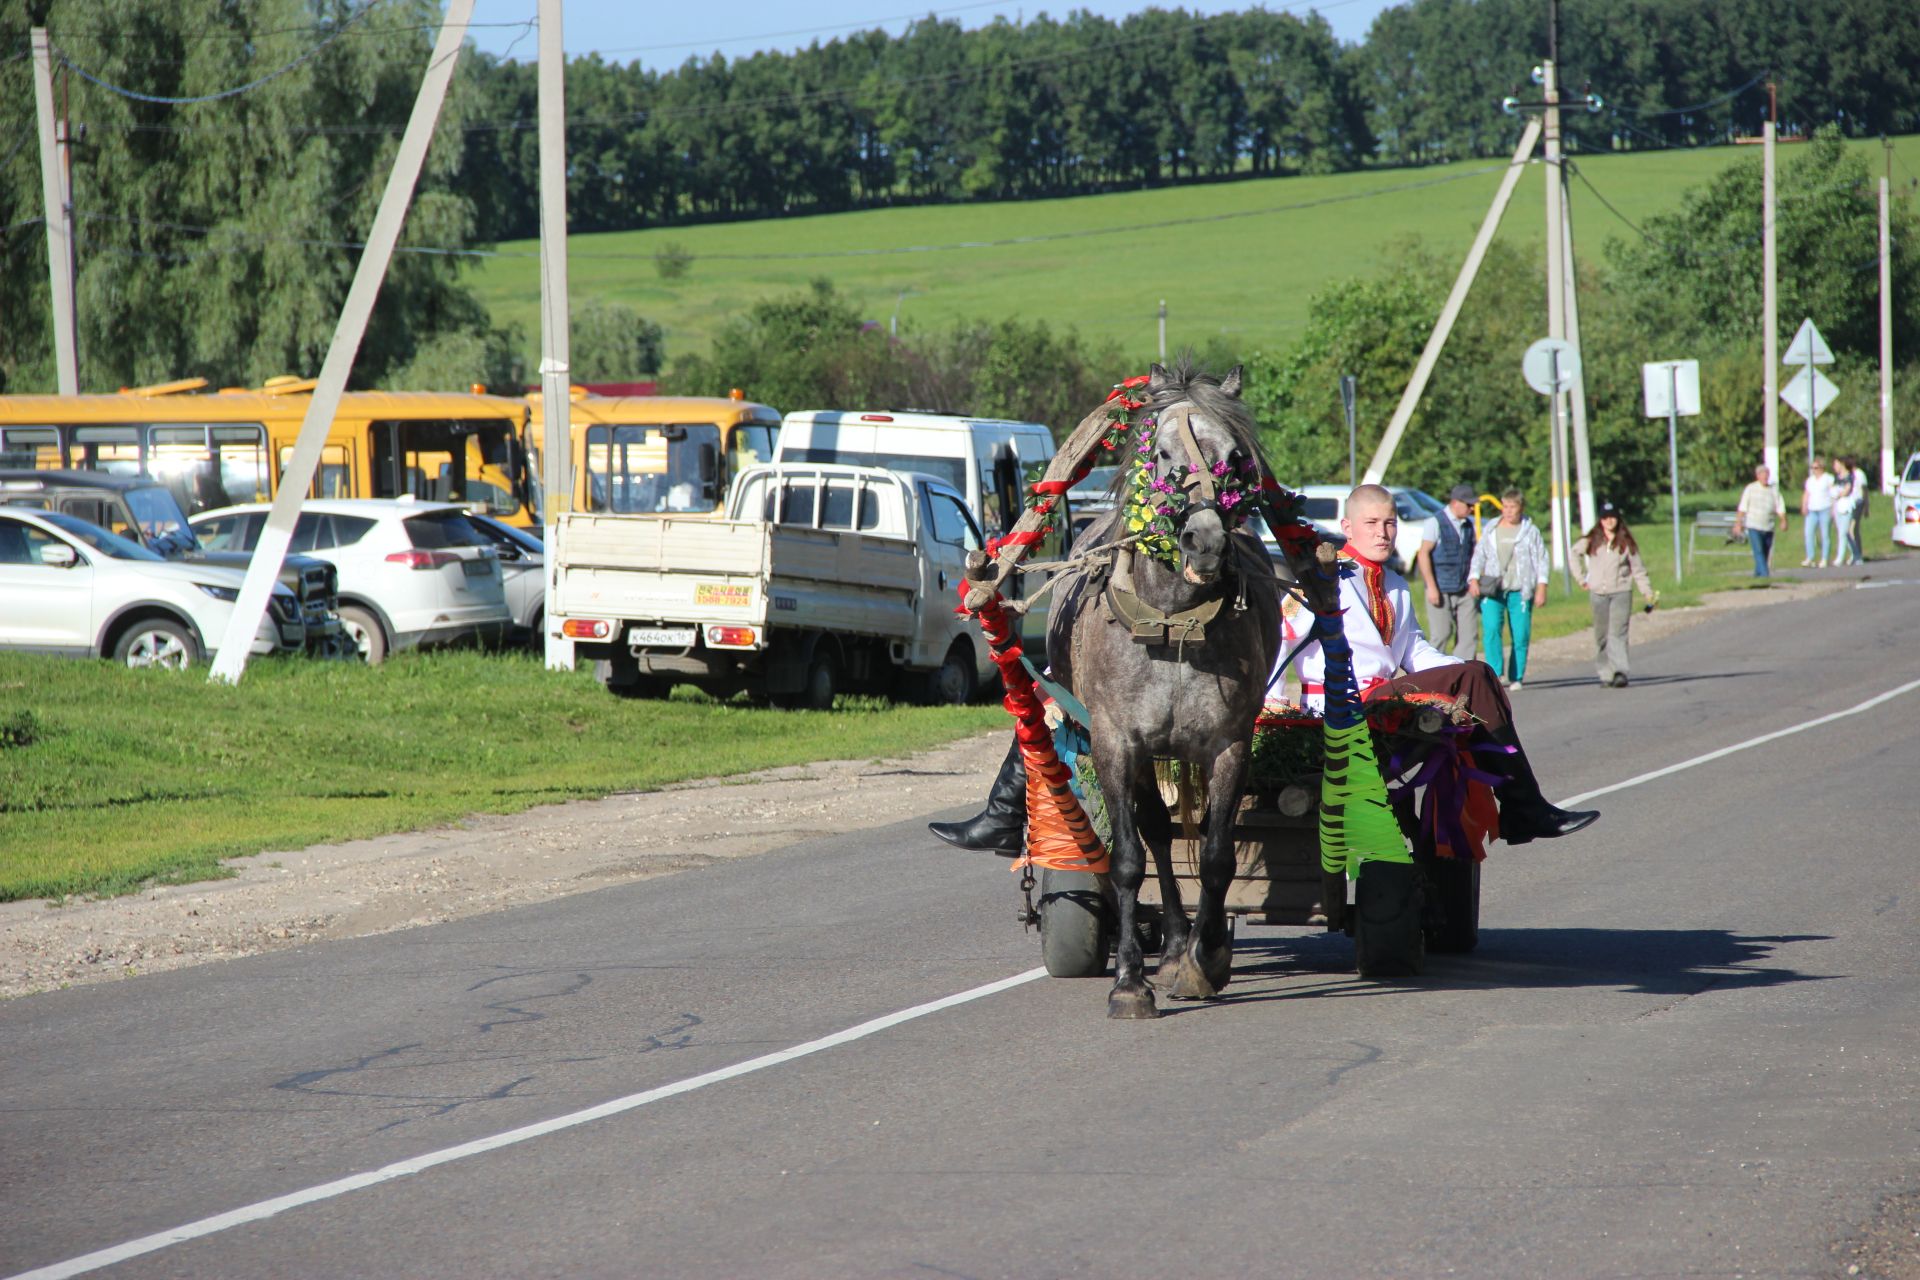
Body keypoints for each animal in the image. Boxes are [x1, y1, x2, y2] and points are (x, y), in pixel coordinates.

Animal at [1052, 360, 1290, 1020]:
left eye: (1235, 456)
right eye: (1161, 454)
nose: (1205, 542)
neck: (1174, 622)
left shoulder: (1229, 744)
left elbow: (1216, 855)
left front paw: (1206, 962)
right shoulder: (1115, 741)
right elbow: (1130, 858)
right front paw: (1130, 983)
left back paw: (1188, 947)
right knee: (1156, 834)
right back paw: (1169, 944)